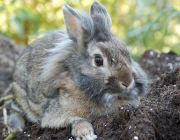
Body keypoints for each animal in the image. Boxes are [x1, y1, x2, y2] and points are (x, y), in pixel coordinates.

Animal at [10, 0, 148, 139]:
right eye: (98, 60)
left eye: (127, 55)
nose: (128, 82)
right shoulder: (57, 113)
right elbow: (76, 119)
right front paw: (87, 134)